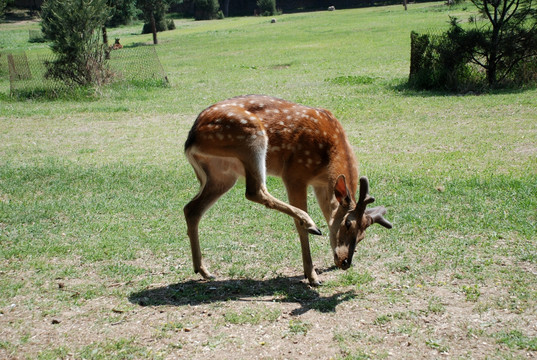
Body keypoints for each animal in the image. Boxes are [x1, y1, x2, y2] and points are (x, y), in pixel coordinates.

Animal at [183, 94, 390, 286]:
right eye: (348, 224)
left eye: (362, 236)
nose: (346, 262)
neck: (329, 156)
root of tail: (190, 140)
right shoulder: (295, 173)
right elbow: (300, 227)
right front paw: (312, 276)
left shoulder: (320, 184)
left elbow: (328, 213)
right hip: (250, 138)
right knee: (254, 191)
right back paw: (310, 223)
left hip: (222, 174)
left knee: (191, 208)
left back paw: (203, 270)